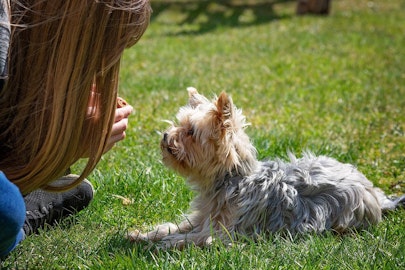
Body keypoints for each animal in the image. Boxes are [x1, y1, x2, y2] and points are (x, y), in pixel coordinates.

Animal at [129, 88, 404, 249]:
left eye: (190, 132)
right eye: (179, 124)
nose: (166, 136)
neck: (231, 180)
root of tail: (376, 195)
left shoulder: (225, 234)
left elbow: (193, 238)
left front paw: (162, 243)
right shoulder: (201, 218)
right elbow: (176, 226)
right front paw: (143, 234)